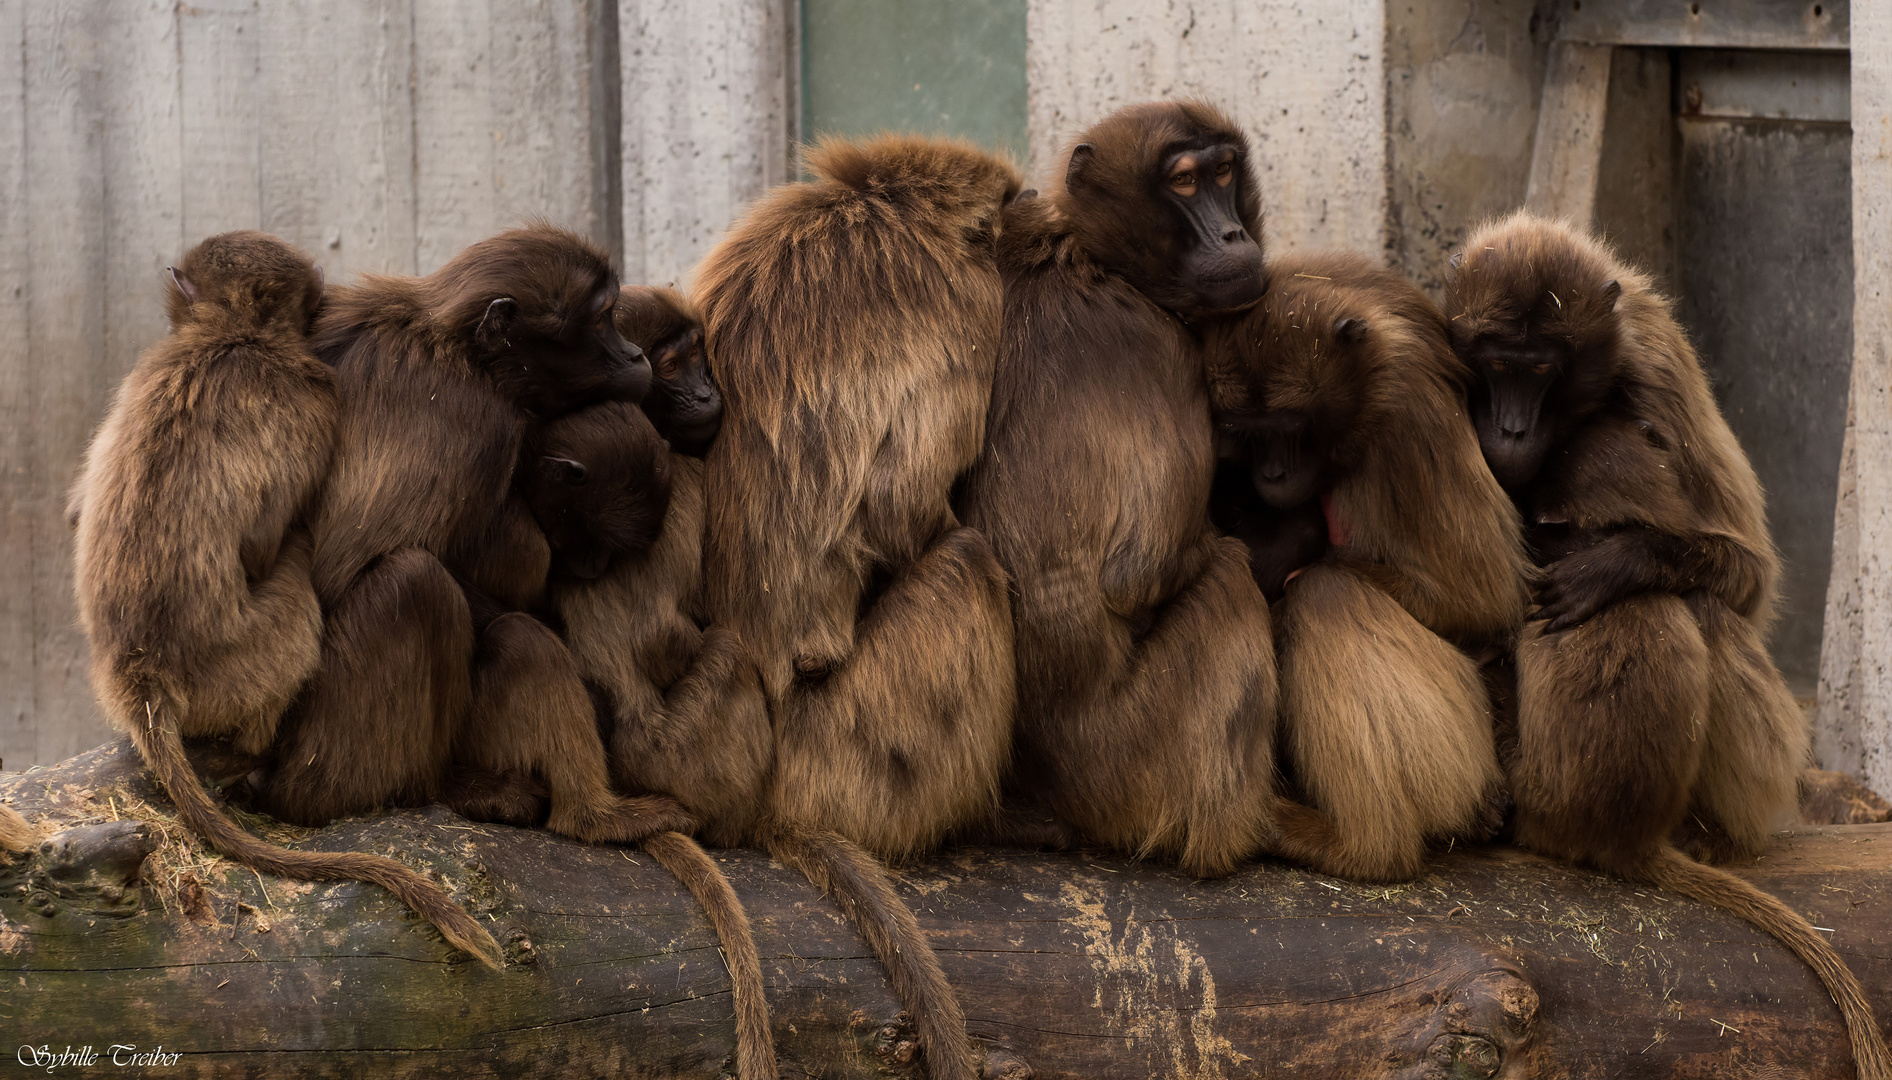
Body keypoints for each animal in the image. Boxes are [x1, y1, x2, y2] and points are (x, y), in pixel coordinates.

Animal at [71, 232, 503, 968]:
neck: (233, 335)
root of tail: (141, 672)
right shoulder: (313, 401)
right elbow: (263, 542)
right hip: (249, 658)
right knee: (294, 579)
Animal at [1203, 251, 1528, 877]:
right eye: (1247, 433)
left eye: (1291, 429)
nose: (1274, 474)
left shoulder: (1409, 411)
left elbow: (1484, 603)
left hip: (1454, 736)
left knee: (1325, 594)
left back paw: (1367, 846)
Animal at [1437, 213, 1884, 1080]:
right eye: (1495, 366)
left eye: (1540, 371)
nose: (1511, 427)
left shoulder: (1653, 360)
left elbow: (1751, 574)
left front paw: (1617, 563)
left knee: (1709, 606)